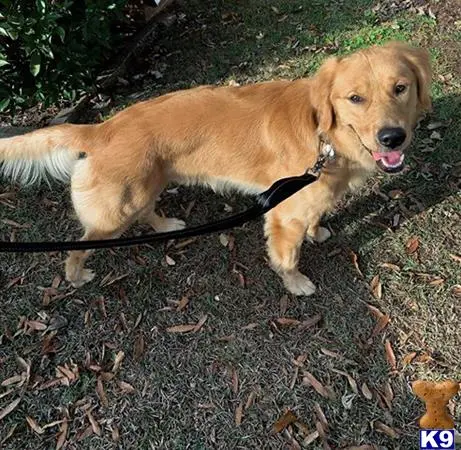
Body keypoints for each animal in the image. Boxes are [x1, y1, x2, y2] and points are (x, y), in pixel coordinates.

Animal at [0, 41, 432, 296]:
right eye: (355, 98)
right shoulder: (284, 214)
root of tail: (102, 128)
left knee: (147, 211)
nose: (392, 138)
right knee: (79, 247)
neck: (323, 134)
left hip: (145, 187)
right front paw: (295, 283)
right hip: (114, 212)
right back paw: (76, 276)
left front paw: (317, 233)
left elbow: (315, 217)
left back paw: (165, 225)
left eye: (400, 88)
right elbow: (286, 256)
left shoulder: (306, 197)